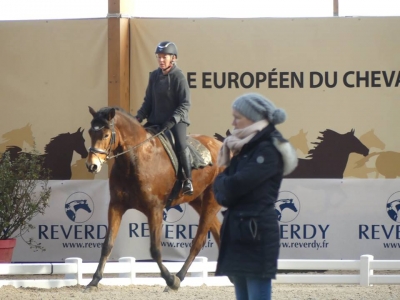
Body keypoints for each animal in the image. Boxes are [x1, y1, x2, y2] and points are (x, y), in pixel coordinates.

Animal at [85, 106, 222, 292]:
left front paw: (169, 279)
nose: (92, 165)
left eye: (106, 135)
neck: (134, 159)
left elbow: (155, 249)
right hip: (197, 200)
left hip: (211, 200)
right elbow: (107, 244)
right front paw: (94, 281)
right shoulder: (116, 206)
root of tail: (220, 144)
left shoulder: (154, 209)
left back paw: (178, 277)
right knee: (217, 232)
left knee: (198, 241)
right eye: (90, 132)